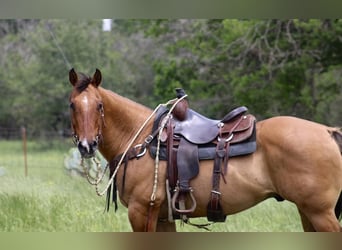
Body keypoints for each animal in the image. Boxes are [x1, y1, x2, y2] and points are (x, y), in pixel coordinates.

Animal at [67, 68, 342, 232]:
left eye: (99, 105)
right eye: (72, 105)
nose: (87, 145)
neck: (142, 138)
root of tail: (328, 131)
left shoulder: (141, 211)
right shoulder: (163, 217)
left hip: (319, 213)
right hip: (307, 212)